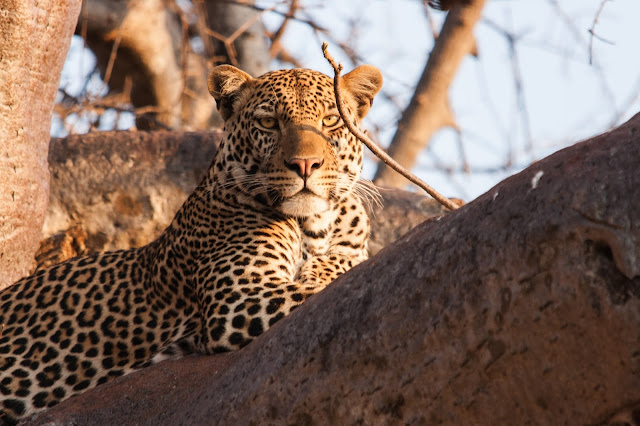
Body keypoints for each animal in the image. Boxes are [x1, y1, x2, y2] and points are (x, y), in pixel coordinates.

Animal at [0, 63, 382, 422]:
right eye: (269, 122)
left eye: (330, 121)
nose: (305, 165)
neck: (313, 225)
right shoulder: (239, 299)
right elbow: (313, 290)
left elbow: (345, 262)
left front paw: (322, 267)